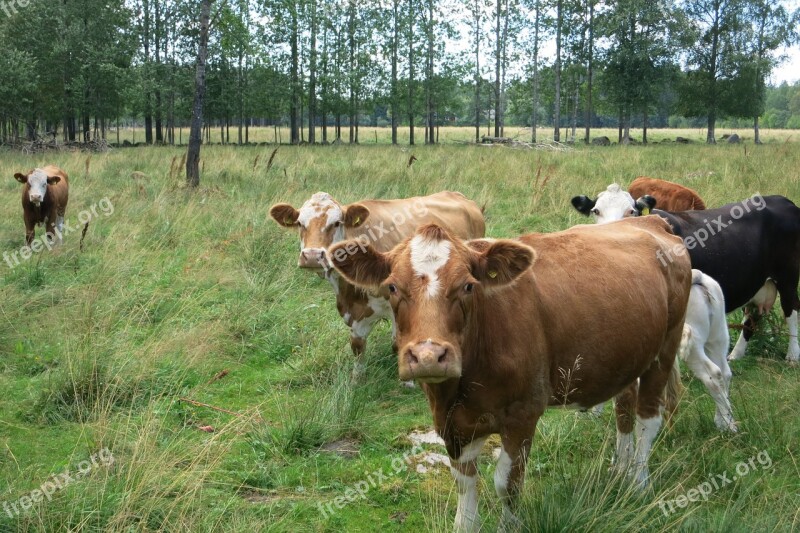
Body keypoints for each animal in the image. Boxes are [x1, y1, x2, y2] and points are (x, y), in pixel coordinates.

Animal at [268, 191, 484, 374]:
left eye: (337, 223)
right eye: (299, 223)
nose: (312, 256)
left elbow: (400, 342)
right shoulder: (352, 311)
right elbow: (357, 346)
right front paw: (357, 379)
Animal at [328, 218, 692, 528]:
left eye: (468, 286)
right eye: (391, 287)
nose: (429, 356)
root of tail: (650, 221)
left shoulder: (523, 413)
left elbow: (508, 482)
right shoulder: (452, 423)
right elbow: (464, 481)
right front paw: (465, 523)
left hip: (665, 347)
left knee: (648, 418)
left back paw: (639, 483)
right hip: (627, 356)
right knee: (624, 409)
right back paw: (620, 467)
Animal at [572, 185, 800, 364]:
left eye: (631, 211)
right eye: (596, 210)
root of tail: (782, 200)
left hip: (788, 278)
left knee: (792, 310)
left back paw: (792, 356)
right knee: (751, 317)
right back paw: (735, 355)